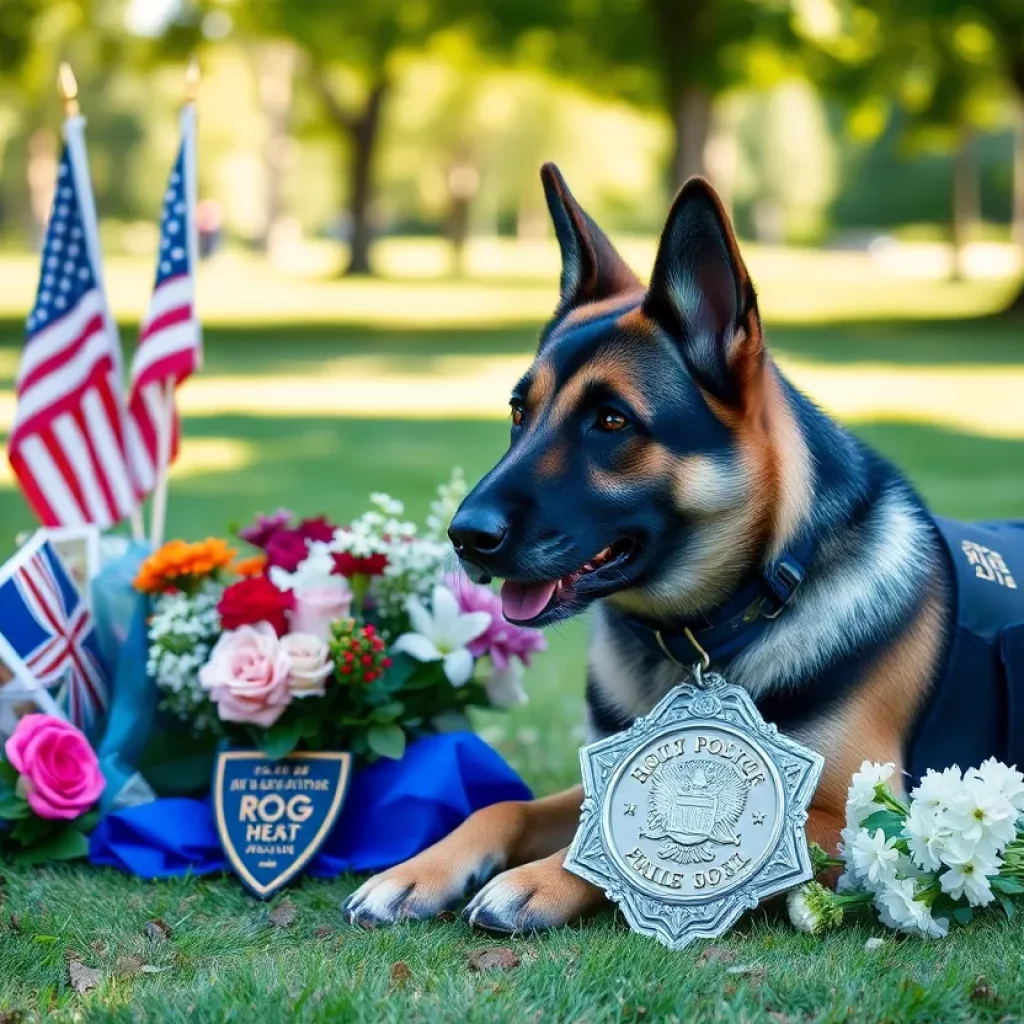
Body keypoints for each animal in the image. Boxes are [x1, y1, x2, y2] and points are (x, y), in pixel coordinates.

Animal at [346, 163, 950, 933]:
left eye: (611, 421)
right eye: (518, 412)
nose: (465, 537)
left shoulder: (864, 819)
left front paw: (534, 880)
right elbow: (505, 804)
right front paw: (417, 871)